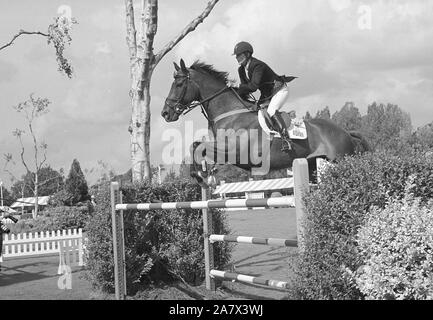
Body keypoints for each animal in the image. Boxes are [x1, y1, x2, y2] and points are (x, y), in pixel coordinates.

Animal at [160, 58, 370, 186]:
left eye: (179, 84)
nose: (165, 113)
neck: (229, 113)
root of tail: (346, 132)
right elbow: (196, 145)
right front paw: (203, 174)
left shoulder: (236, 151)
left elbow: (199, 146)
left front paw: (204, 176)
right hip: (312, 164)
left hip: (340, 160)